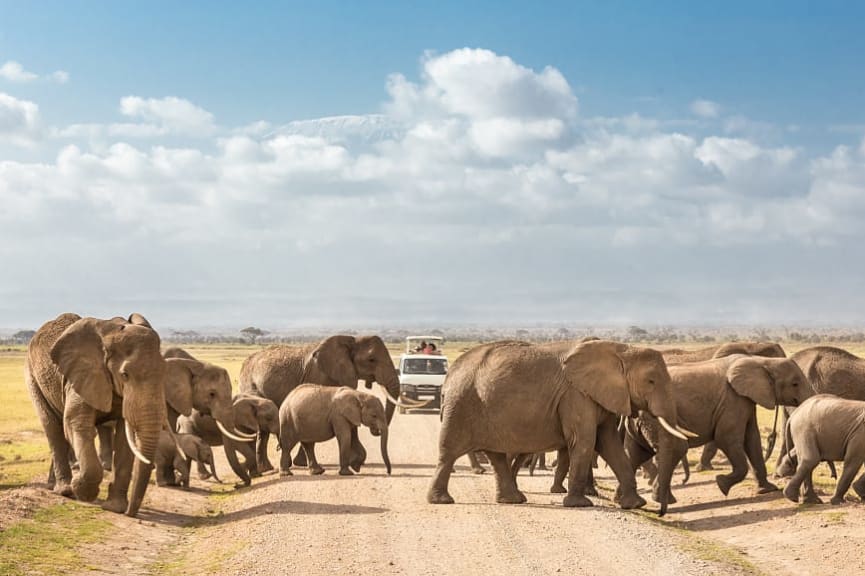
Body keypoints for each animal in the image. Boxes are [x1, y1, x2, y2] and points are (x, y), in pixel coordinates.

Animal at [25, 316, 167, 516]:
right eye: (125, 375)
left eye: (165, 372)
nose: (130, 513)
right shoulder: (82, 375)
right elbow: (76, 424)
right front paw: (81, 489)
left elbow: (124, 438)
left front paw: (114, 508)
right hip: (33, 379)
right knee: (53, 428)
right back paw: (65, 490)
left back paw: (54, 486)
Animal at [235, 336, 414, 474]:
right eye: (371, 359)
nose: (375, 431)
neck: (352, 340)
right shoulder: (318, 374)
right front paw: (354, 462)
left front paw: (355, 462)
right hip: (250, 385)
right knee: (262, 428)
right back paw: (270, 468)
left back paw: (269, 468)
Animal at [426, 340, 688, 506]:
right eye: (651, 381)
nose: (661, 509)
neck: (621, 349)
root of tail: (451, 373)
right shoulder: (576, 396)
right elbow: (585, 441)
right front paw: (579, 504)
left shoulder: (599, 397)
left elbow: (609, 443)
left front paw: (635, 505)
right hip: (461, 404)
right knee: (448, 452)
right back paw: (441, 500)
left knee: (496, 455)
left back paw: (513, 500)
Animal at [620, 354, 808, 516]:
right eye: (795, 384)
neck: (762, 361)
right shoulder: (733, 400)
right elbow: (726, 438)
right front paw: (721, 484)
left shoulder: (745, 399)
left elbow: (751, 439)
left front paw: (767, 489)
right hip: (654, 418)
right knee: (671, 450)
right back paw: (662, 500)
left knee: (637, 454)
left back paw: (629, 501)